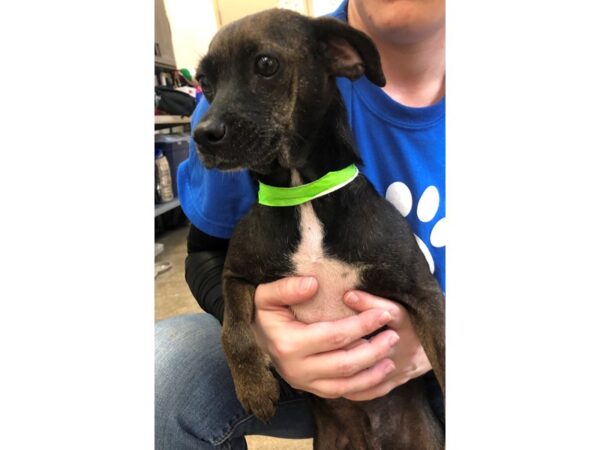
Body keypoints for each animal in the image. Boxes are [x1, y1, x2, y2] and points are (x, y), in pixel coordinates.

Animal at [192, 7, 446, 450]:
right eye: (204, 81)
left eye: (266, 64)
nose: (201, 135)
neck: (303, 194)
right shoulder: (235, 273)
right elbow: (232, 330)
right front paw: (255, 387)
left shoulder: (424, 294)